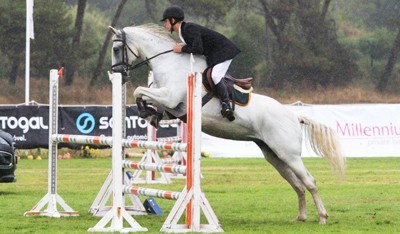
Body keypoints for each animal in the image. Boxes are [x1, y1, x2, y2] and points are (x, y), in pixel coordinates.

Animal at [109, 23, 344, 225]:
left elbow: (138, 90)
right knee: (297, 184)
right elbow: (144, 96)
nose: (117, 73)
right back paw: (301, 217)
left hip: (289, 154)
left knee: (309, 181)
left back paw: (323, 217)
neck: (169, 64)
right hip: (274, 155)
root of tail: (294, 116)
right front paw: (149, 114)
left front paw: (145, 111)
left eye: (116, 49)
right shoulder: (171, 107)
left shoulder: (170, 98)